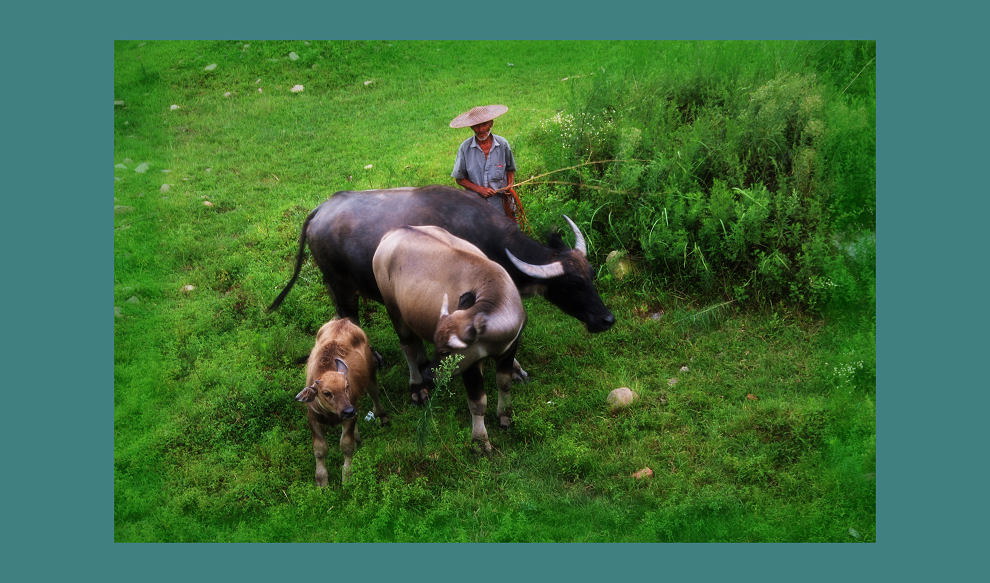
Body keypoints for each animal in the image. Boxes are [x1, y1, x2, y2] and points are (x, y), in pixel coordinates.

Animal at [296, 318, 390, 486]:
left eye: (346, 387)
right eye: (327, 393)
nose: (348, 411)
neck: (331, 414)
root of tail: (343, 321)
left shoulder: (350, 417)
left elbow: (346, 445)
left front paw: (347, 477)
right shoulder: (313, 418)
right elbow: (320, 450)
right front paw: (321, 480)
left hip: (371, 375)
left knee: (374, 393)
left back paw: (382, 416)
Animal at [372, 226, 528, 454]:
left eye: (446, 351)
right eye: (439, 348)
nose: (429, 375)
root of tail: (394, 231)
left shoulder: (509, 349)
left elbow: (504, 383)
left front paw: (505, 416)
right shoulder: (470, 364)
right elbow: (478, 402)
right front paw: (480, 441)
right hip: (394, 310)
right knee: (407, 346)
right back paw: (417, 387)